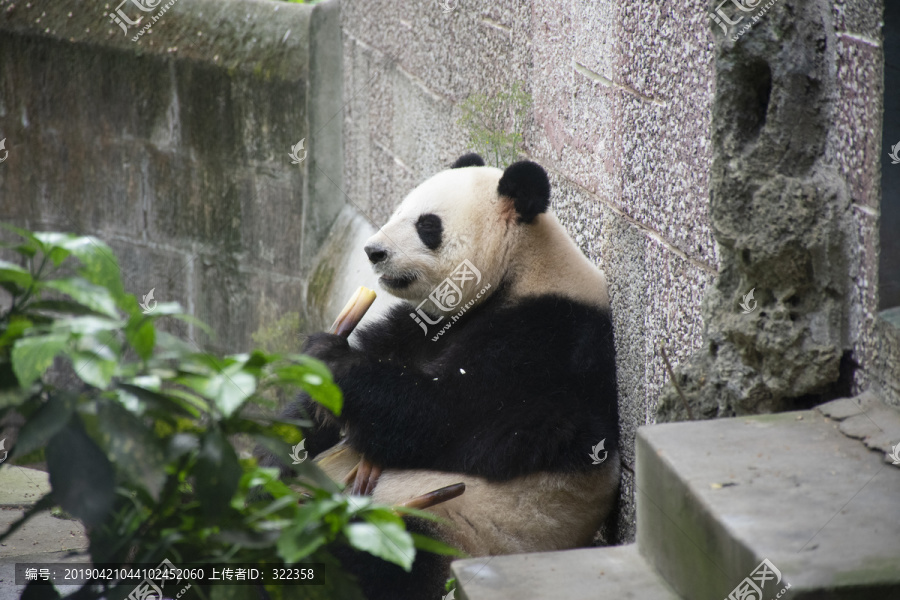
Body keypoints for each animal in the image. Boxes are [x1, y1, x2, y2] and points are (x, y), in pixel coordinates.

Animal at [282, 155, 620, 600]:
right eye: (397, 211)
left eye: (428, 225)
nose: (373, 251)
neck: (523, 268)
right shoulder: (424, 325)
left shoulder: (550, 344)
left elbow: (448, 417)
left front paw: (331, 360)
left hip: (451, 529)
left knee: (374, 559)